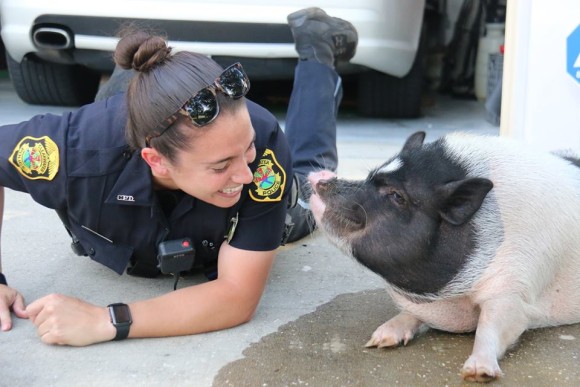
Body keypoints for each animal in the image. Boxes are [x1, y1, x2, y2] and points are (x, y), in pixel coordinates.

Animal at [308, 132, 580, 384]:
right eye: (370, 176)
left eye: (397, 196)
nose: (320, 178)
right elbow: (411, 315)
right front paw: (379, 340)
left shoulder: (514, 290)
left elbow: (490, 326)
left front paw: (477, 373)